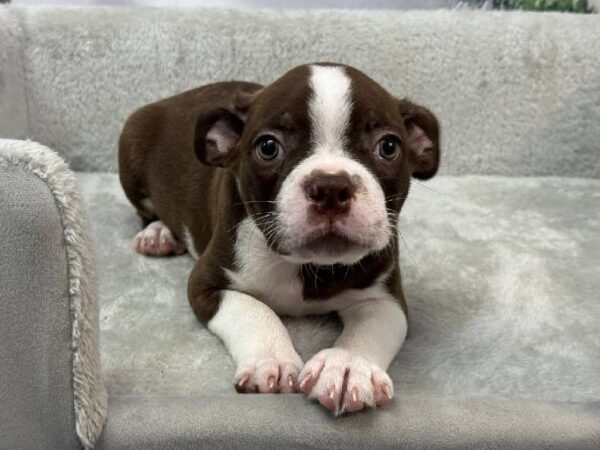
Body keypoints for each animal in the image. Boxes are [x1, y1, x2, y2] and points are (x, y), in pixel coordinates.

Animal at [118, 63, 440, 414]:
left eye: (389, 147)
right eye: (268, 147)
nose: (331, 186)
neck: (307, 266)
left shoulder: (383, 297)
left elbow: (370, 328)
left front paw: (346, 366)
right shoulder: (208, 282)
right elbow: (253, 309)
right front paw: (273, 360)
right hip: (131, 145)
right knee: (145, 210)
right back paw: (158, 233)